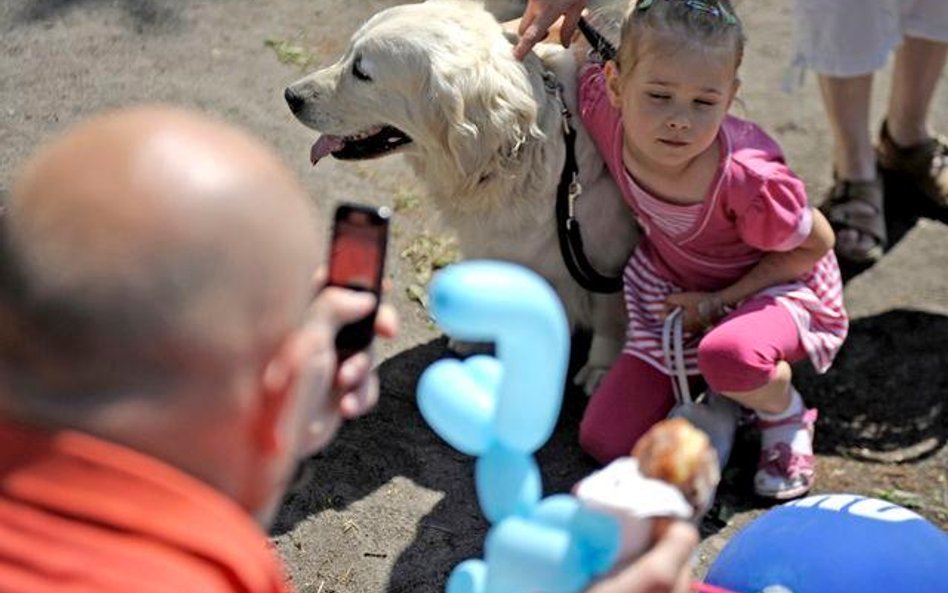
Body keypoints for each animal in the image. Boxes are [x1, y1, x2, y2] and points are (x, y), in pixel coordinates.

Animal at [286, 2, 640, 390]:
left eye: (362, 72)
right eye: (348, 54)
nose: (291, 97)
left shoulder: (611, 256)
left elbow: (608, 318)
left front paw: (601, 368)